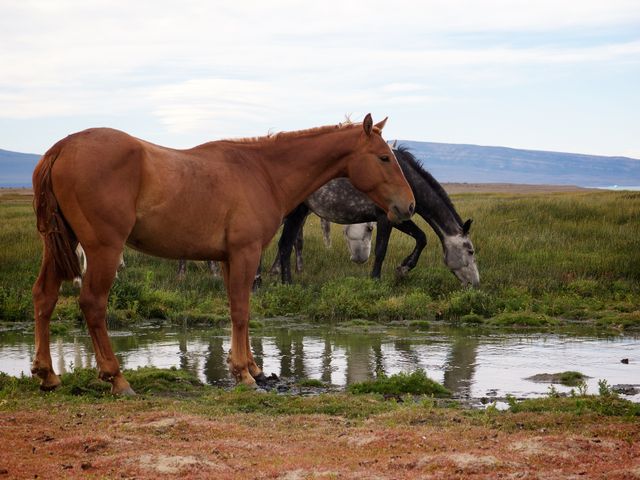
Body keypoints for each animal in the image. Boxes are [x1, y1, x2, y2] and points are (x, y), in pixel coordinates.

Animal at [31, 115, 416, 394]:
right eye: (384, 157)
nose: (408, 205)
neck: (263, 172)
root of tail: (62, 148)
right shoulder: (245, 253)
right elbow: (242, 311)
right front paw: (245, 373)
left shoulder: (231, 258)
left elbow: (237, 311)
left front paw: (251, 367)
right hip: (104, 250)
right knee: (93, 304)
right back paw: (116, 378)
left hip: (56, 247)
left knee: (44, 297)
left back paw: (47, 374)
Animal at [272, 146, 478, 286]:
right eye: (470, 251)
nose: (476, 283)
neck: (406, 179)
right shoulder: (385, 218)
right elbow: (381, 250)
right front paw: (376, 280)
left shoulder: (399, 217)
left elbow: (421, 237)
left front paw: (403, 268)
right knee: (285, 245)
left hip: (298, 213)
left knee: (286, 245)